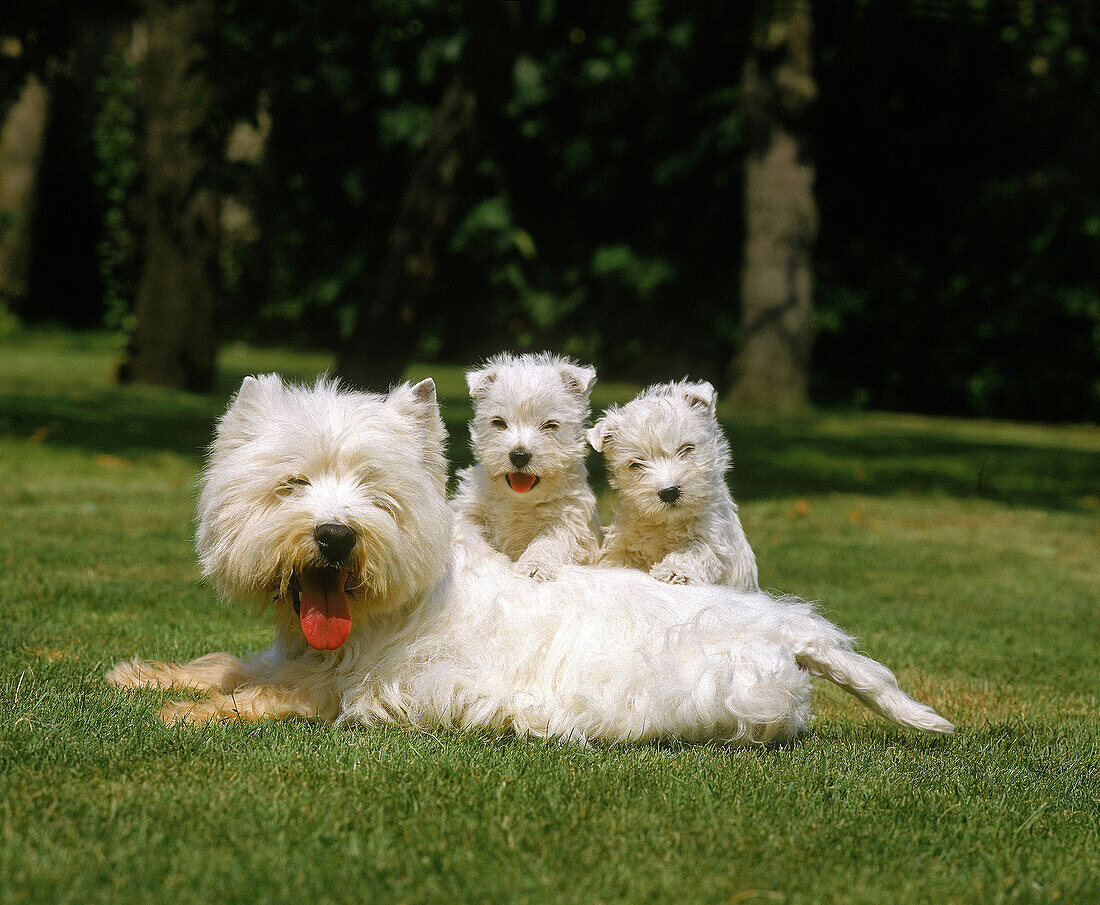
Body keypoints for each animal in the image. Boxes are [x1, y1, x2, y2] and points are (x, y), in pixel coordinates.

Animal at [448, 349, 602, 585]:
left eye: (550, 425)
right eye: (498, 422)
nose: (519, 456)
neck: (519, 499)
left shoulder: (566, 518)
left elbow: (548, 542)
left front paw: (533, 567)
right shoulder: (471, 511)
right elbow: (468, 534)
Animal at [589, 378, 761, 589]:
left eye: (687, 449)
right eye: (636, 463)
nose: (669, 492)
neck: (665, 523)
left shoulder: (713, 536)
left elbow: (695, 550)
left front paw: (673, 571)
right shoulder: (621, 544)